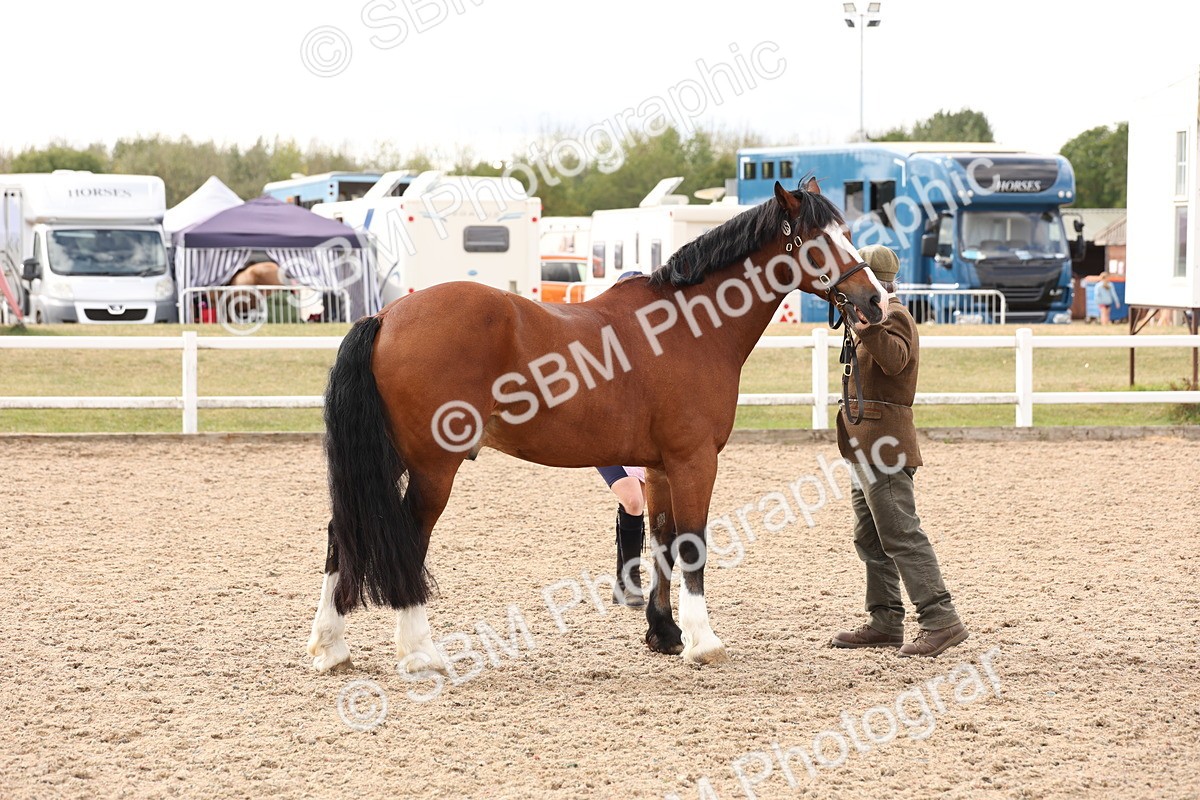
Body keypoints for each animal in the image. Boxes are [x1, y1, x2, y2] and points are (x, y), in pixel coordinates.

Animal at [306, 179, 887, 673]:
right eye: (819, 240)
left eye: (848, 233)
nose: (875, 300)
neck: (690, 326)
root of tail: (386, 316)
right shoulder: (695, 459)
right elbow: (692, 544)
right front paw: (703, 642)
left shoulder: (659, 467)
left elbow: (663, 541)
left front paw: (664, 633)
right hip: (432, 468)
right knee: (408, 539)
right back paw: (419, 651)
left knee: (341, 532)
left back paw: (332, 648)